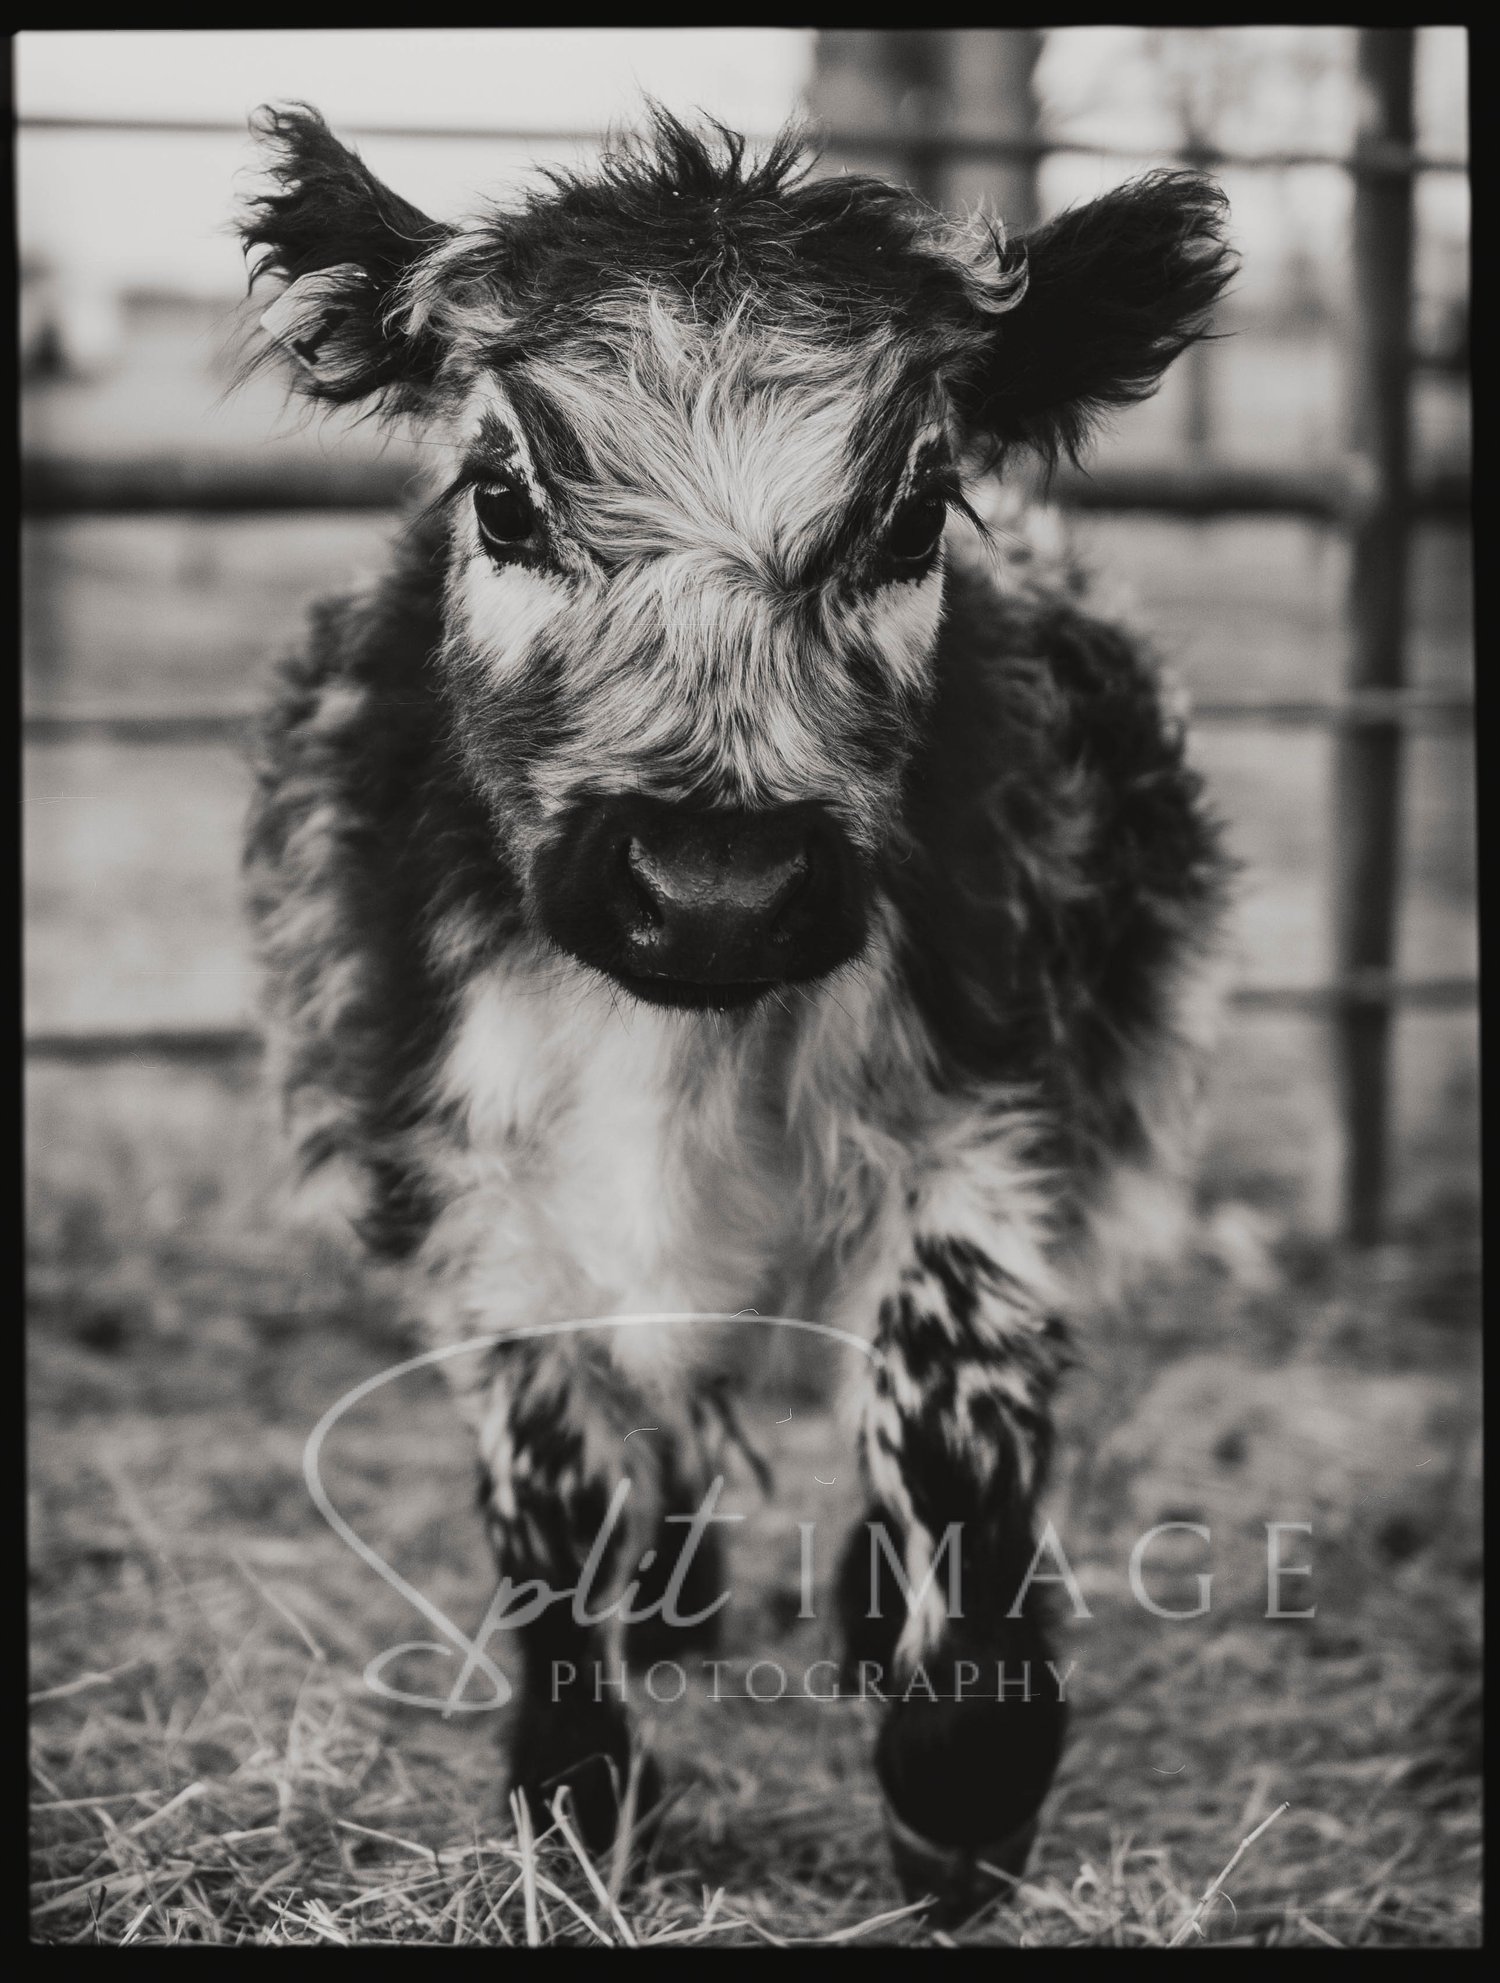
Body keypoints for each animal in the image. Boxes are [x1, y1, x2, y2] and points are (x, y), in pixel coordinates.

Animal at [239, 104, 1234, 1919]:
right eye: (504, 493)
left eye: (916, 514)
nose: (711, 881)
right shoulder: (462, 1174)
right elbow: (554, 1478)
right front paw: (578, 1790)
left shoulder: (988, 1115)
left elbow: (949, 1391)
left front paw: (962, 1774)